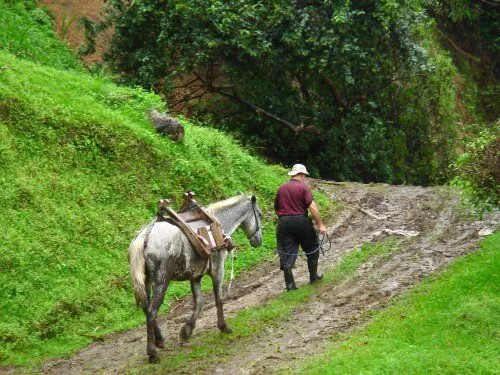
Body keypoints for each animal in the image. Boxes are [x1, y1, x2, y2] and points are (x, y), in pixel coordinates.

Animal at [128, 195, 262, 362]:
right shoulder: (218, 270)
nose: (258, 240)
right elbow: (219, 299)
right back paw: (152, 353)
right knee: (152, 311)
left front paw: (186, 332)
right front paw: (223, 326)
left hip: (146, 282)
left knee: (146, 309)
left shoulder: (196, 275)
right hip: (161, 281)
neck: (215, 224)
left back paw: (159, 340)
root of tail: (143, 238)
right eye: (260, 214)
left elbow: (199, 303)